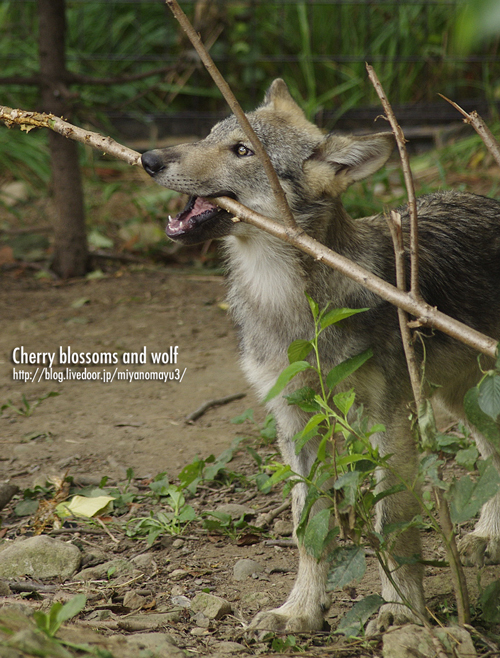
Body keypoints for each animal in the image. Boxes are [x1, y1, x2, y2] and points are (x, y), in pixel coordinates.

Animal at [141, 79, 500, 632]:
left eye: (242, 151)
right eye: (208, 136)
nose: (149, 158)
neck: (286, 300)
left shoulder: (389, 423)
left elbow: (393, 526)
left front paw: (400, 611)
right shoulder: (295, 421)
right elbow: (308, 529)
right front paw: (300, 611)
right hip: (464, 401)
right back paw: (487, 539)